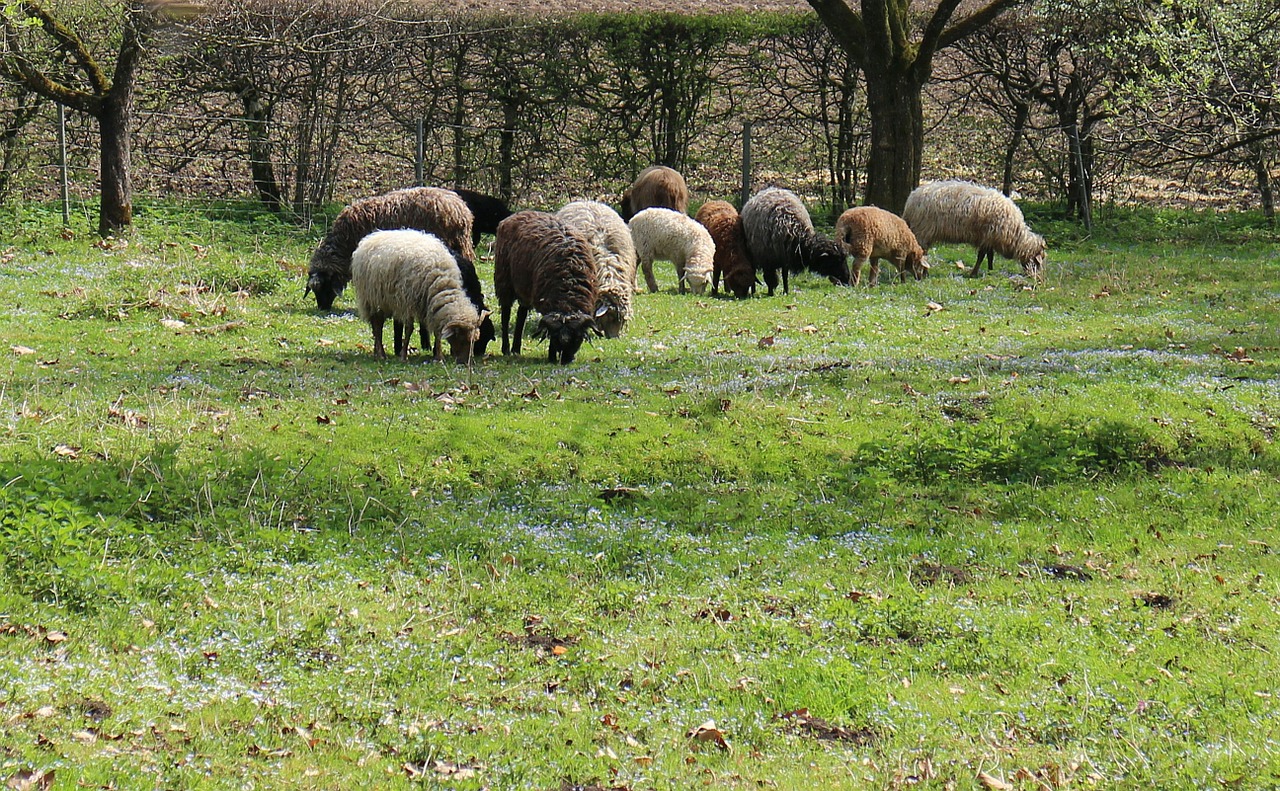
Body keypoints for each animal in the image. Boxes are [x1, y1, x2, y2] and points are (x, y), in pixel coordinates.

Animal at [348, 227, 486, 363]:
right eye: (461, 339)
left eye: (474, 340)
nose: (466, 362)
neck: (441, 282)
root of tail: (371, 237)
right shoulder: (407, 303)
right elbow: (409, 329)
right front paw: (404, 356)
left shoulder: (430, 305)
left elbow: (437, 332)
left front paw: (439, 357)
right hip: (372, 297)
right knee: (377, 326)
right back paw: (381, 354)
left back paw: (376, 353)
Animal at [494, 209, 604, 363]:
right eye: (555, 337)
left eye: (577, 338)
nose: (565, 361)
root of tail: (516, 214)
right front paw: (551, 356)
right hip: (504, 280)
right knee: (506, 314)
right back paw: (506, 349)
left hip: (525, 288)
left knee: (521, 314)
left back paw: (516, 349)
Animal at [901, 180, 1049, 279]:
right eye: (1037, 261)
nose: (1035, 278)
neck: (1016, 235)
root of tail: (911, 200)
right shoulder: (987, 237)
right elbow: (982, 256)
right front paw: (974, 273)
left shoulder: (989, 238)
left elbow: (989, 256)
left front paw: (990, 270)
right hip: (923, 231)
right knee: (921, 253)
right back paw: (923, 273)